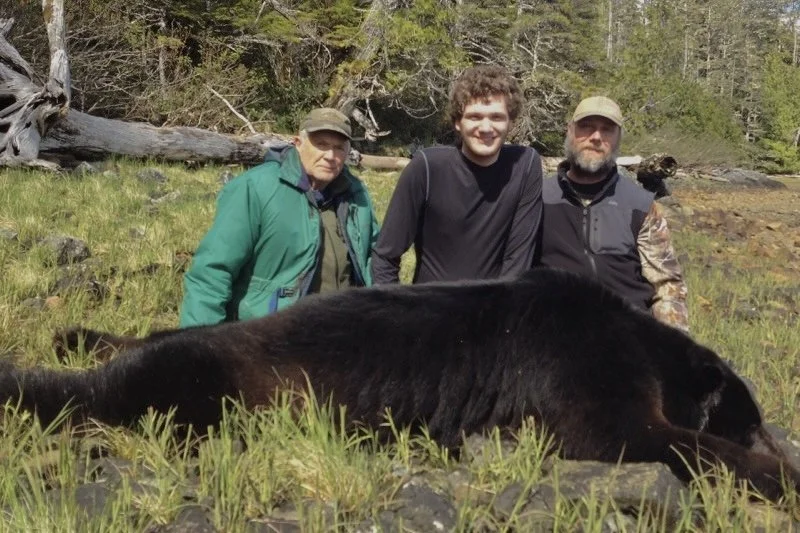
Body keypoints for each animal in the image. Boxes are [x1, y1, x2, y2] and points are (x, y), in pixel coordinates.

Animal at [3, 268, 799, 503]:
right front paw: (781, 473)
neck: (648, 345)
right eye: (751, 418)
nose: (774, 438)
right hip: (206, 381)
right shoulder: (584, 371)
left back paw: (78, 335)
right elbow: (646, 436)